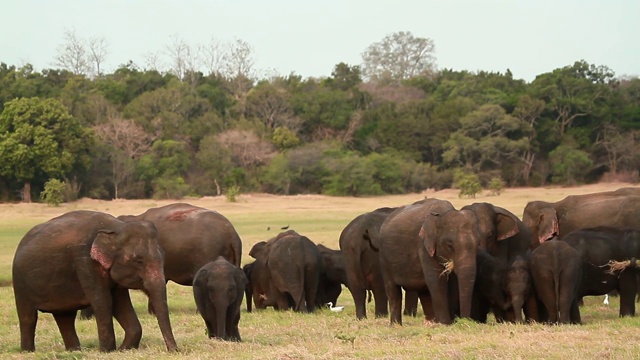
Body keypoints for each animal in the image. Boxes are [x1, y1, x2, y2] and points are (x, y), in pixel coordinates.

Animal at [11, 211, 178, 352]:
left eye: (163, 256)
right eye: (138, 261)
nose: (174, 351)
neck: (116, 227)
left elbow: (120, 303)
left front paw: (124, 349)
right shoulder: (85, 262)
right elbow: (103, 301)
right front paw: (107, 351)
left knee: (65, 317)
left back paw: (74, 350)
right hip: (19, 283)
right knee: (28, 317)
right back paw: (27, 351)